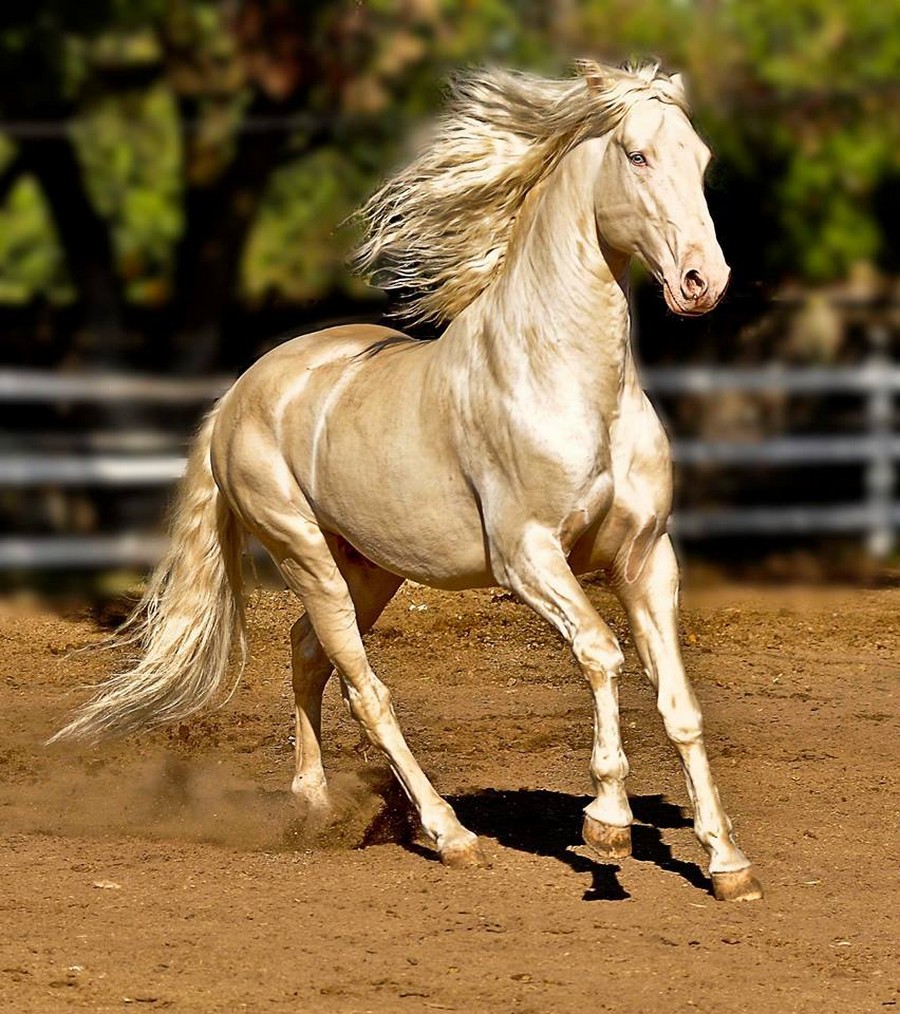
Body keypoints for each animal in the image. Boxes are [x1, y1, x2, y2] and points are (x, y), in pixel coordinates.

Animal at [54, 61, 758, 904]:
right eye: (638, 155)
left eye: (702, 159)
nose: (702, 281)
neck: (572, 383)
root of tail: (240, 393)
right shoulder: (528, 559)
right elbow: (602, 655)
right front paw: (607, 823)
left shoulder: (645, 557)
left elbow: (678, 702)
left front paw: (726, 863)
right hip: (304, 555)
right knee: (365, 689)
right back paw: (451, 836)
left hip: (369, 568)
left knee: (306, 654)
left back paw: (314, 806)